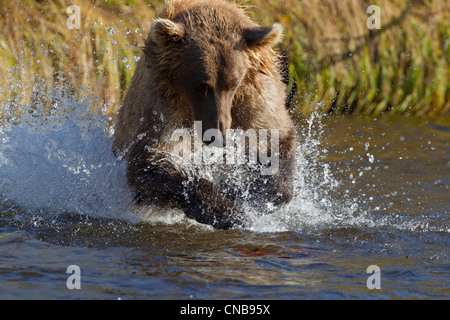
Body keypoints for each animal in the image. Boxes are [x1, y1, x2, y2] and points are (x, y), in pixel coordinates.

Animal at [114, 0, 298, 230]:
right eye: (202, 85)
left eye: (233, 83)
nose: (218, 135)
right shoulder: (164, 106)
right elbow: (154, 160)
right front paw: (230, 212)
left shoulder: (254, 96)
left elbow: (272, 137)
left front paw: (254, 194)